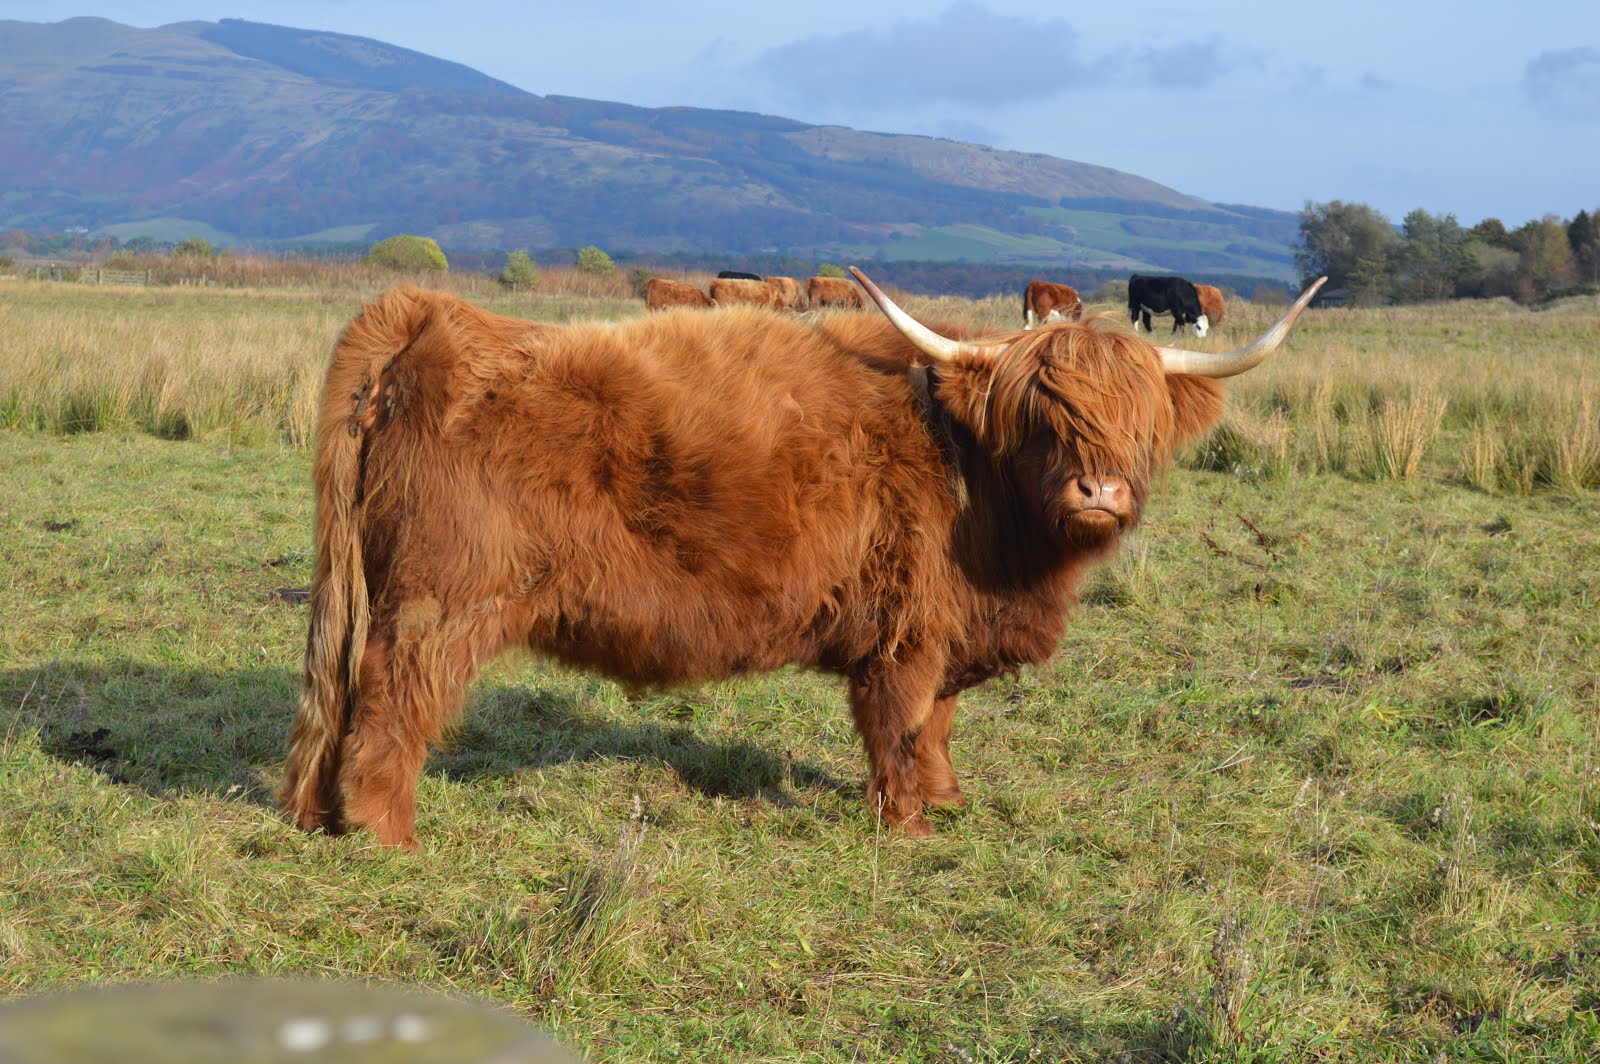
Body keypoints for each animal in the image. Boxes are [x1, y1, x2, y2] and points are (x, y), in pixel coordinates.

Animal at [278, 270, 1324, 851]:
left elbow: (941, 726)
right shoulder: (905, 634)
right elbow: (902, 723)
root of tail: (427, 313)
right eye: (1045, 413)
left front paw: (947, 799)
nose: (1098, 491)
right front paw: (908, 825)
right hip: (441, 599)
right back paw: (386, 832)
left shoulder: (946, 629)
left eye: (1136, 419)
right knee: (395, 696)